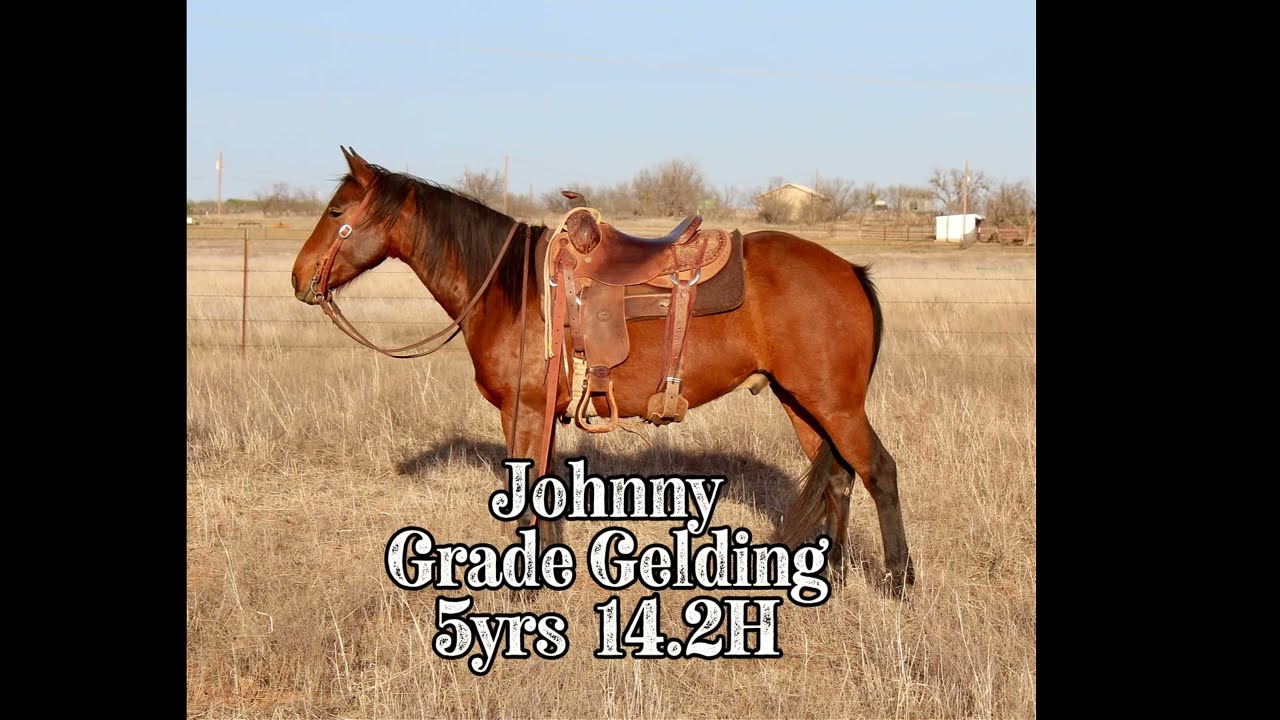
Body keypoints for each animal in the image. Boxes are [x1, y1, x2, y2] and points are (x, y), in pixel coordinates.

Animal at [290, 147, 915, 596]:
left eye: (337, 212)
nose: (299, 278)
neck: (511, 288)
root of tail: (850, 270)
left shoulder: (524, 410)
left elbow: (525, 489)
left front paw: (518, 588)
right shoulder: (537, 415)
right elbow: (542, 487)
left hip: (835, 404)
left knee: (878, 471)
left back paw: (899, 580)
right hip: (803, 403)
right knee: (837, 479)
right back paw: (830, 576)